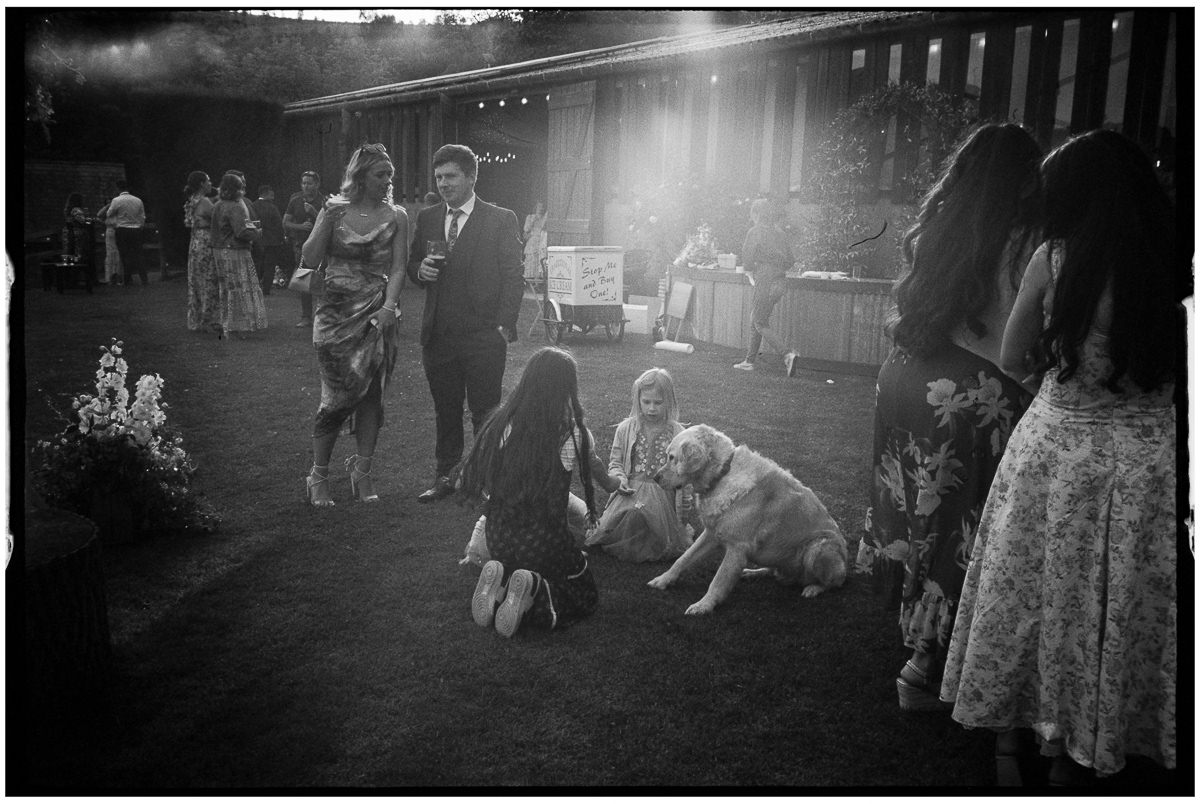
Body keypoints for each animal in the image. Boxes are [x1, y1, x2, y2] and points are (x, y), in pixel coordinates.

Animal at [648, 422, 844, 619]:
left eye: (672, 457)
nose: (655, 478)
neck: (722, 474)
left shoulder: (737, 548)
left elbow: (718, 580)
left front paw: (703, 605)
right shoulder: (711, 534)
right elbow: (683, 558)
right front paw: (663, 579)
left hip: (818, 547)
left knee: (833, 583)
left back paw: (813, 588)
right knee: (773, 571)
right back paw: (752, 572)